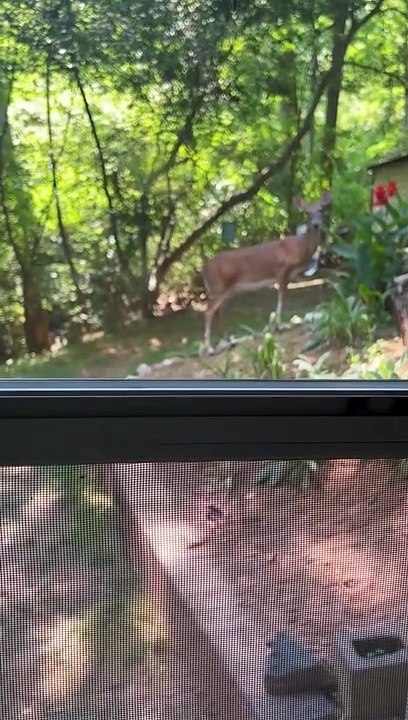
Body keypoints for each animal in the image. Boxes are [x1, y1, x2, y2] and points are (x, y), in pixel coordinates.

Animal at [201, 190, 332, 355]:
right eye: (307, 212)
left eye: (321, 209)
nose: (315, 224)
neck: (299, 248)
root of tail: (204, 269)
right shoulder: (282, 270)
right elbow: (281, 298)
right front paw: (280, 326)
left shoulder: (288, 276)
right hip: (218, 287)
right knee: (208, 312)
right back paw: (210, 348)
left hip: (227, 290)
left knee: (219, 312)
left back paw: (228, 342)